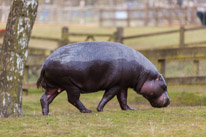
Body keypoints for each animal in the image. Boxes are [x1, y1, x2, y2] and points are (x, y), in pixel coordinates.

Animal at [36, 41, 170, 114]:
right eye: (164, 86)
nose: (169, 101)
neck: (144, 74)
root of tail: (45, 63)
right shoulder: (116, 85)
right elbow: (108, 96)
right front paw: (99, 109)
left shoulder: (123, 85)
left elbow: (123, 100)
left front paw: (130, 109)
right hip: (70, 85)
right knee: (73, 99)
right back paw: (87, 111)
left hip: (55, 86)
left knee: (45, 99)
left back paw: (46, 114)